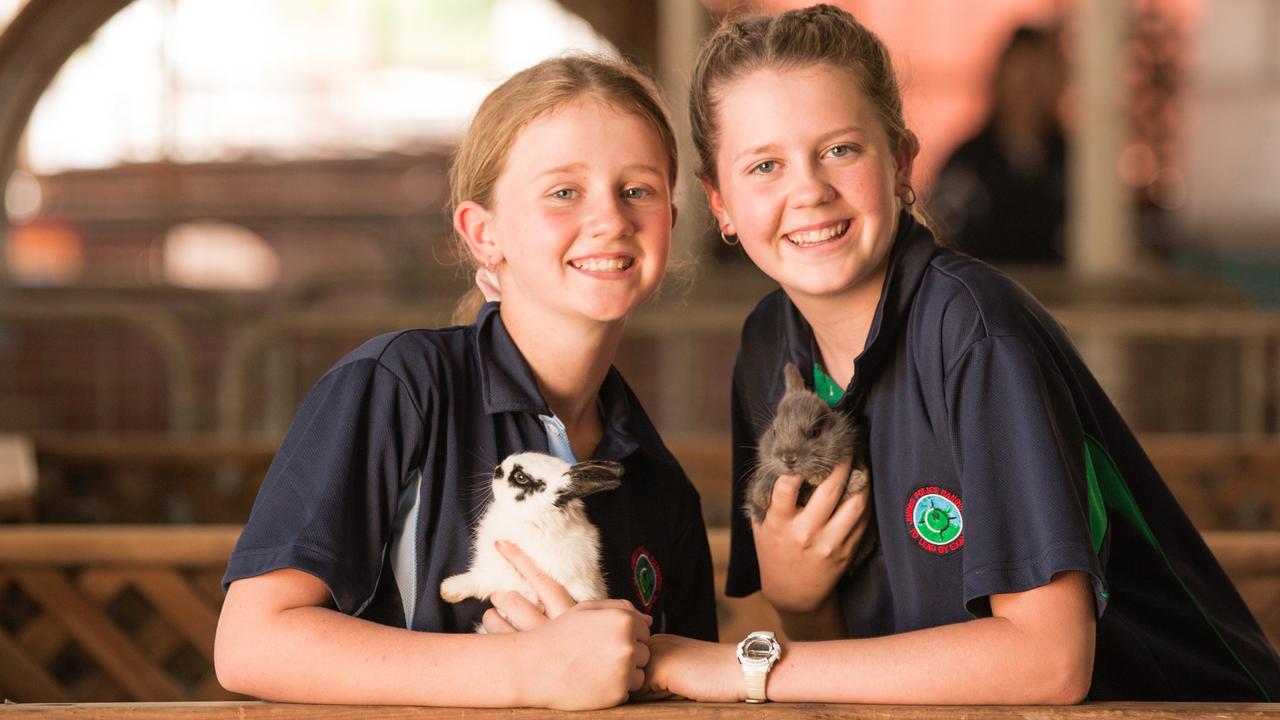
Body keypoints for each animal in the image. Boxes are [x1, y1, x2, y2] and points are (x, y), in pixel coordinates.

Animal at [437, 450, 622, 602]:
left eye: (520, 477)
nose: (498, 469)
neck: (533, 517)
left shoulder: (508, 577)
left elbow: (480, 580)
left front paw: (447, 589)